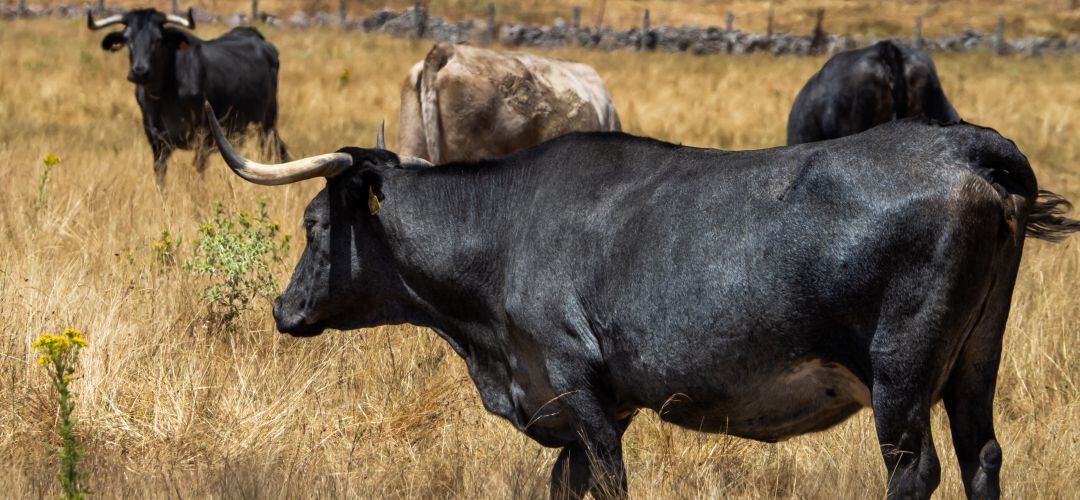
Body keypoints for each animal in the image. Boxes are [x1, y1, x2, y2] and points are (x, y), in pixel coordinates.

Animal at [87, 7, 287, 187]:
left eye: (158, 39)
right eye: (128, 39)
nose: (140, 72)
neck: (164, 93)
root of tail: (254, 34)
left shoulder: (203, 138)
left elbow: (199, 172)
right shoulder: (157, 143)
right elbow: (160, 177)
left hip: (267, 125)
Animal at [203, 102, 1071, 500]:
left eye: (314, 224)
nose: (282, 311)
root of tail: (959, 143)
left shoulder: (579, 385)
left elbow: (611, 482)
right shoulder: (588, 407)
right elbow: (568, 484)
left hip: (901, 376)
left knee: (915, 470)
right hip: (975, 360)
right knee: (981, 457)